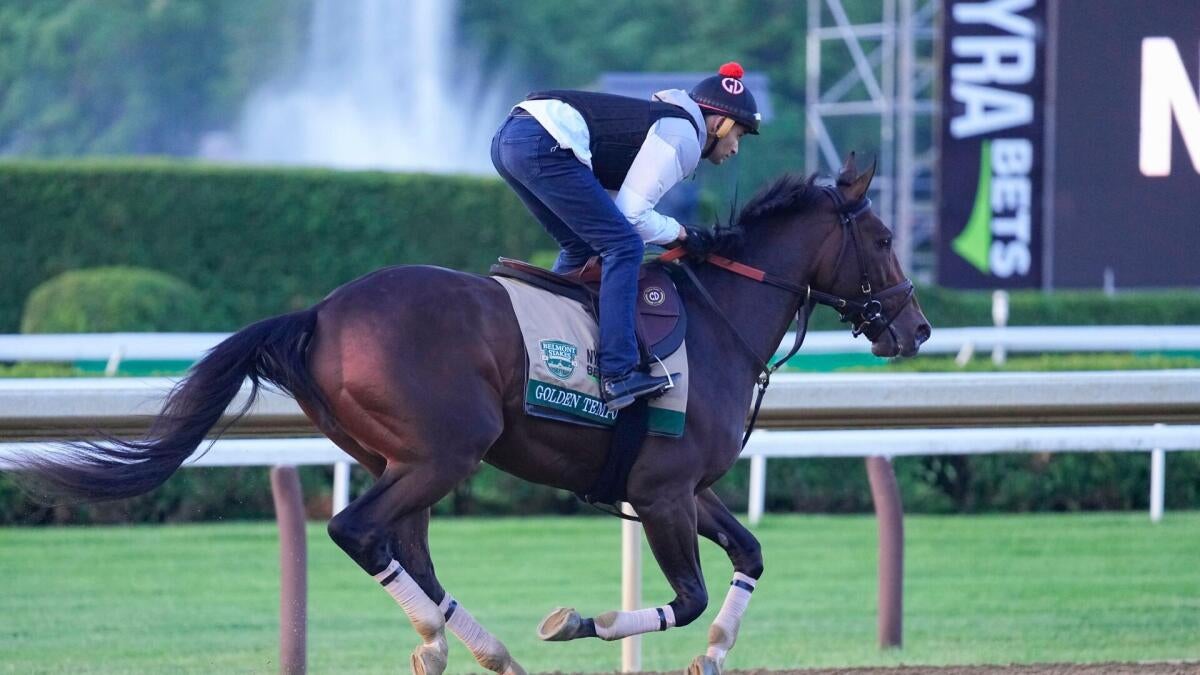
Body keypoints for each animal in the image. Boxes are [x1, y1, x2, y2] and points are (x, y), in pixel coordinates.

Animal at [14, 152, 930, 675]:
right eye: (885, 238)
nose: (916, 327)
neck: (717, 319)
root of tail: (320, 314)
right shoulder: (665, 490)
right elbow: (692, 592)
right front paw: (584, 620)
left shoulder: (687, 487)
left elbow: (750, 554)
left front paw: (712, 657)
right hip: (446, 451)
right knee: (359, 530)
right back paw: (449, 640)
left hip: (402, 456)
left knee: (405, 546)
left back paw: (476, 647)